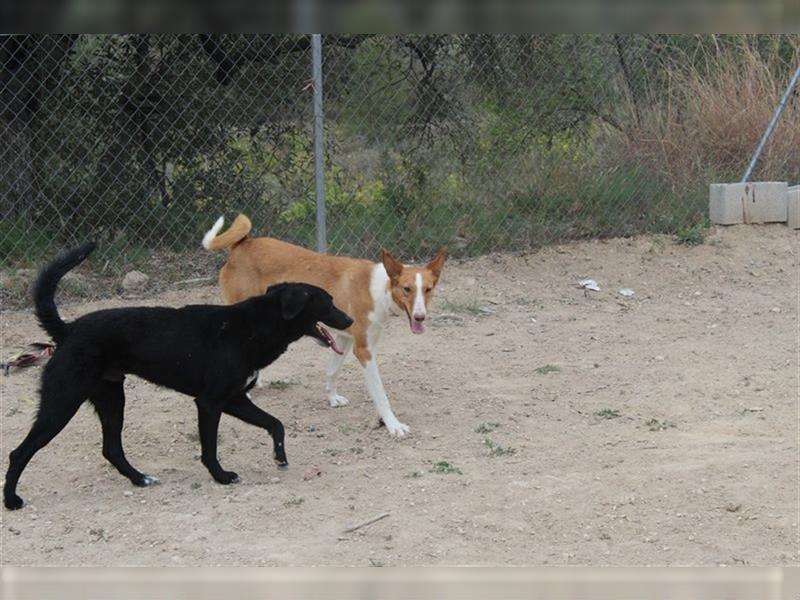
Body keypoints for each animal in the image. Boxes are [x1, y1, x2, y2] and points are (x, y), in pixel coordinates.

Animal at [3, 241, 354, 508]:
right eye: (328, 302)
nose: (350, 320)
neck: (253, 326)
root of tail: (68, 330)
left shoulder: (235, 398)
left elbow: (275, 424)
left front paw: (279, 456)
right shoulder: (210, 403)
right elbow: (210, 448)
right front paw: (221, 477)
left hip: (112, 399)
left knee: (111, 449)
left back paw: (140, 479)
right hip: (62, 403)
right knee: (19, 453)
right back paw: (11, 500)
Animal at [203, 216, 446, 436]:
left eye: (428, 289)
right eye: (407, 289)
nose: (420, 317)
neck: (379, 290)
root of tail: (242, 245)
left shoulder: (344, 339)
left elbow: (332, 371)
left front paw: (332, 398)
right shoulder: (364, 351)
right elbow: (380, 393)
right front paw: (393, 425)